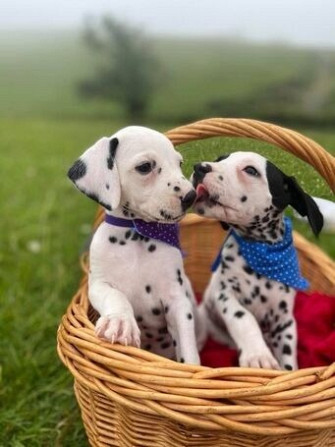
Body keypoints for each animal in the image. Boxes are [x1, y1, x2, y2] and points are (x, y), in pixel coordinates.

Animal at [67, 125, 207, 364]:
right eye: (145, 167)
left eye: (179, 163)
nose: (191, 196)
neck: (136, 235)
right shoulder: (97, 285)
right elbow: (116, 295)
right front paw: (120, 323)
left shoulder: (177, 299)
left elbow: (187, 346)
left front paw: (192, 367)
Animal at [193, 153, 324, 372]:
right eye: (220, 159)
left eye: (251, 170)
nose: (199, 167)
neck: (261, 251)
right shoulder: (224, 294)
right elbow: (243, 316)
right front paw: (258, 355)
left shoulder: (284, 322)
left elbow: (289, 358)